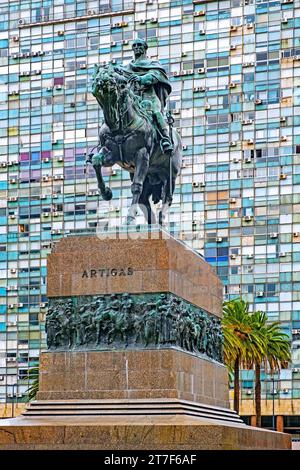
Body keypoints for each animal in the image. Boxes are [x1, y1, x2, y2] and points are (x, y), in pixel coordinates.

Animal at [89, 64, 182, 226]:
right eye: (96, 85)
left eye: (116, 83)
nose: (112, 121)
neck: (121, 126)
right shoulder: (110, 154)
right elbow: (96, 161)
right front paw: (106, 192)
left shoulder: (142, 154)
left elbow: (136, 187)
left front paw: (130, 218)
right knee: (145, 201)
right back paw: (152, 225)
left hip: (171, 174)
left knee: (167, 197)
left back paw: (162, 220)